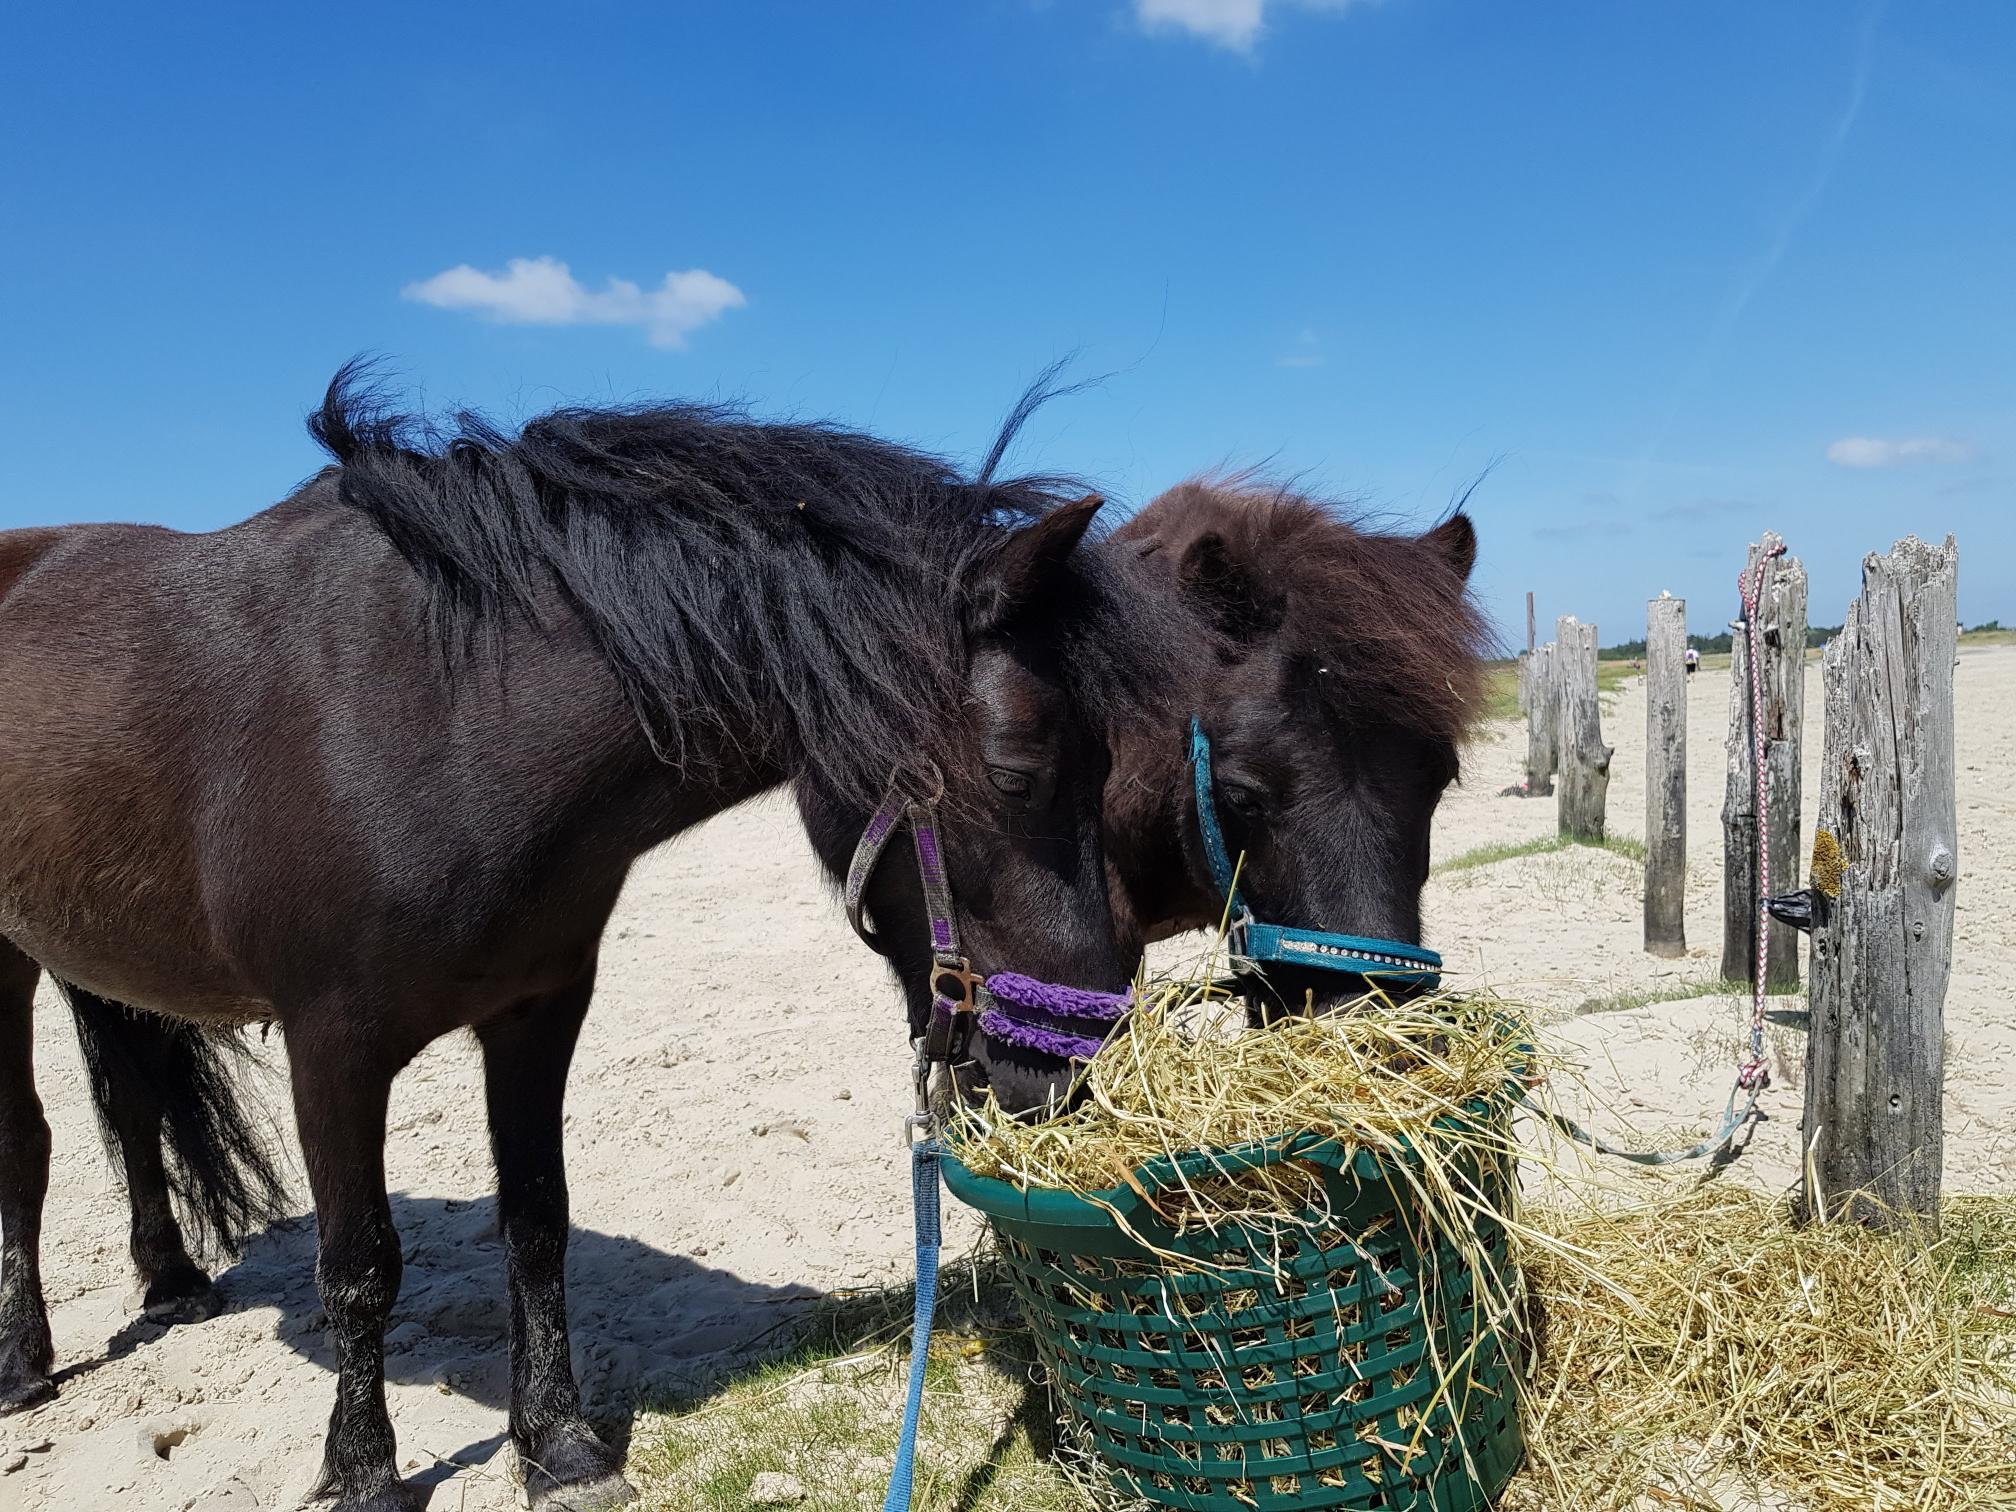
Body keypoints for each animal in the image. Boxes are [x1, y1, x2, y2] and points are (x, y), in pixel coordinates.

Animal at [0, 367, 1161, 1510]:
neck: (435, 711)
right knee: (31, 1144)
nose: (1073, 1072)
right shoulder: (331, 1046)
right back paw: (25, 1364)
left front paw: (556, 1444)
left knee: (128, 1109)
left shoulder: (537, 1012)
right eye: (1017, 773)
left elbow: (536, 1221)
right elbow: (360, 1264)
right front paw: (364, 1472)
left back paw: (171, 1282)